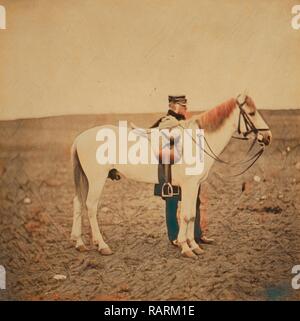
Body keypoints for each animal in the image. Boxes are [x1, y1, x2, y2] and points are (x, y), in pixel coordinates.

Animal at [70, 94, 272, 258]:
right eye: (252, 113)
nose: (268, 136)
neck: (196, 142)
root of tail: (80, 138)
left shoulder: (194, 186)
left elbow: (191, 214)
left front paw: (194, 245)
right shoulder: (189, 185)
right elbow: (186, 215)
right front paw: (186, 247)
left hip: (86, 179)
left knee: (78, 203)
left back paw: (79, 243)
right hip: (96, 180)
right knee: (90, 207)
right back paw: (102, 245)